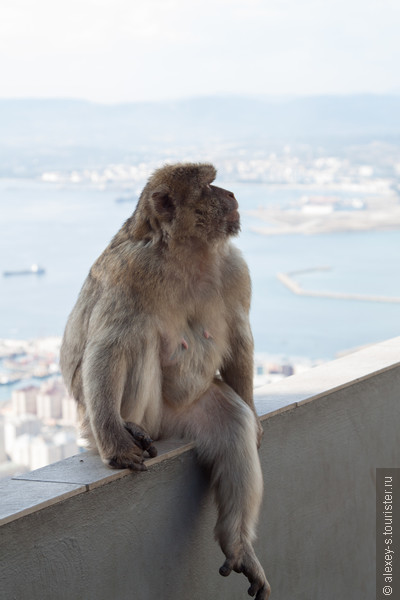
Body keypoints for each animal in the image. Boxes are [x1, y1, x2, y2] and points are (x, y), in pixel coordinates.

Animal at [60, 162, 272, 596]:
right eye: (209, 185)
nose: (230, 194)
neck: (186, 253)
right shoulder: (132, 271)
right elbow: (107, 346)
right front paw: (117, 445)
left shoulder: (235, 270)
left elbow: (239, 338)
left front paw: (254, 414)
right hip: (139, 416)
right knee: (136, 338)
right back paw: (128, 429)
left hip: (189, 409)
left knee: (232, 425)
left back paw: (237, 544)